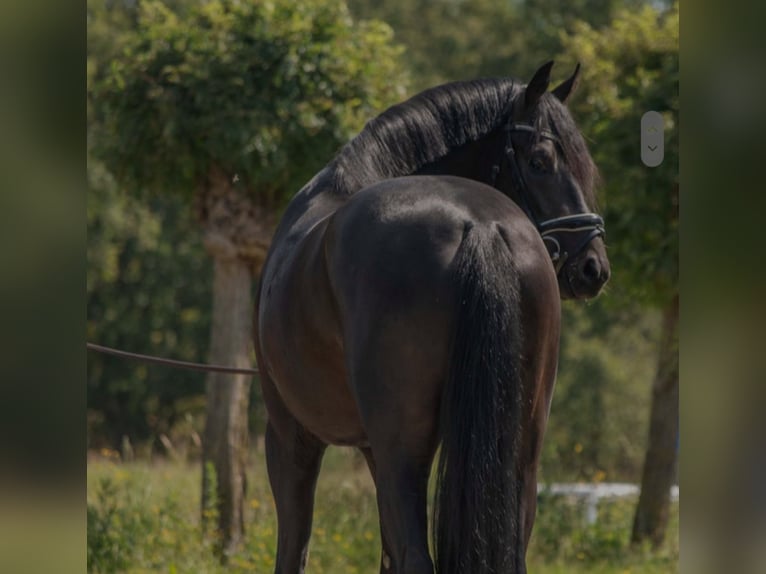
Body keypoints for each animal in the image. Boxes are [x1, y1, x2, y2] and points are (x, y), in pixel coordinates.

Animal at [256, 60, 612, 572]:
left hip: (398, 451)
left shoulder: (292, 436)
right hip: (521, 452)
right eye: (539, 162)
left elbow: (296, 548)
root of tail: (479, 224)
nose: (593, 267)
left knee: (414, 555)